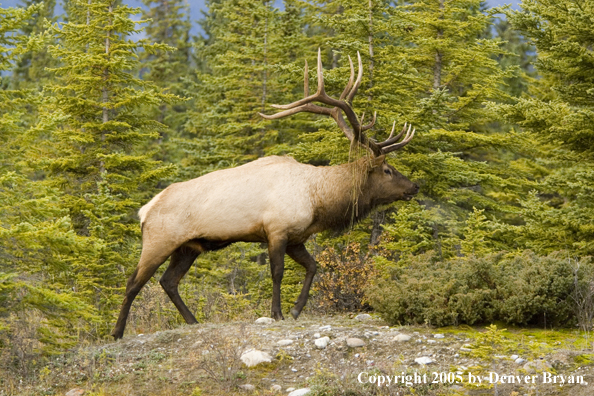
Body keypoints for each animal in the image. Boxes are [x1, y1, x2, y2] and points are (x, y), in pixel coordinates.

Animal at [111, 48, 416, 340]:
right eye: (388, 170)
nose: (415, 186)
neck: (318, 201)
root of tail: (145, 210)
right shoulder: (276, 230)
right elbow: (277, 273)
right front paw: (277, 312)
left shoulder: (296, 237)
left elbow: (313, 266)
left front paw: (296, 309)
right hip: (159, 240)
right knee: (133, 282)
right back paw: (117, 332)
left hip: (188, 247)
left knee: (168, 281)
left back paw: (193, 320)